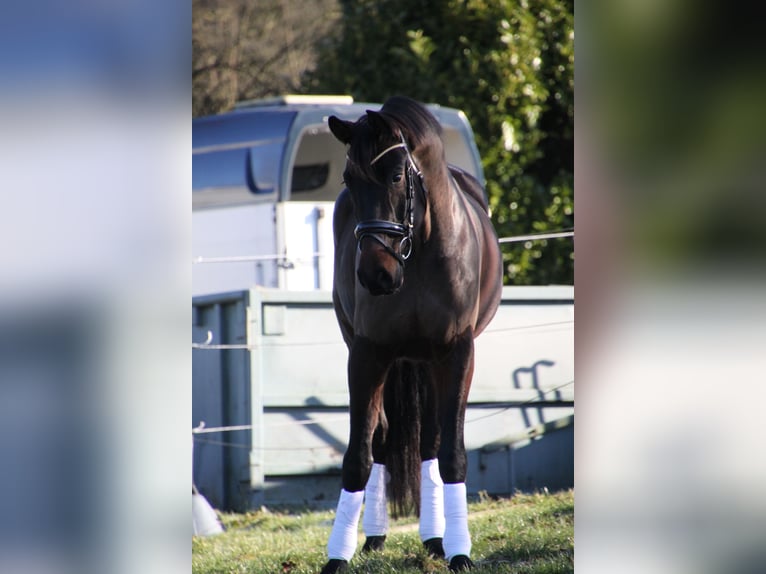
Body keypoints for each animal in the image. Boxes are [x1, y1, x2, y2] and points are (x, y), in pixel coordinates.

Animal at [320, 97, 504, 572]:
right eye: (349, 179)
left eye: (396, 176)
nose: (375, 274)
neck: (420, 250)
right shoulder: (367, 354)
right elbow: (359, 455)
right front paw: (336, 558)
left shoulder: (457, 353)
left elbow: (452, 454)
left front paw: (459, 552)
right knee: (386, 439)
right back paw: (375, 537)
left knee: (430, 444)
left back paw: (436, 539)